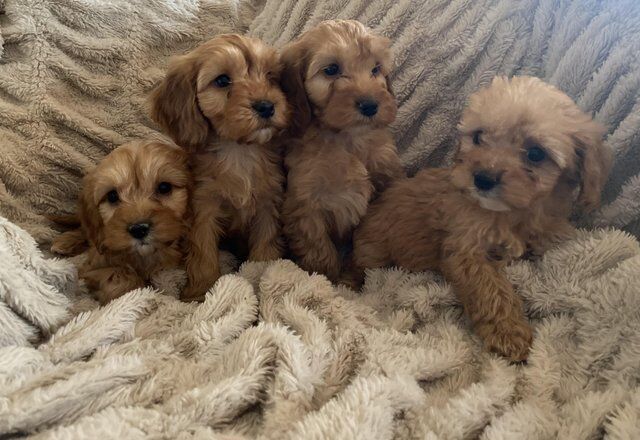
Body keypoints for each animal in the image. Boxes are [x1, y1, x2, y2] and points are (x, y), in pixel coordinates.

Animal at [51, 139, 191, 304]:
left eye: (164, 187)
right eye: (112, 196)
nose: (139, 229)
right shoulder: (91, 268)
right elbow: (119, 273)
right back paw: (64, 242)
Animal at [150, 36, 290, 300]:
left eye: (270, 76)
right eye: (223, 80)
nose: (266, 105)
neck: (238, 151)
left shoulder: (268, 204)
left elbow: (265, 245)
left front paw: (263, 274)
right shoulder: (203, 207)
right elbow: (203, 252)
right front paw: (201, 290)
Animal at [278, 19, 400, 282]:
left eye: (376, 68)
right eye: (331, 69)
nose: (370, 105)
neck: (348, 139)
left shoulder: (386, 183)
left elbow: (369, 242)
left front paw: (354, 276)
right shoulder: (305, 205)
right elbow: (318, 250)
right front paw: (330, 281)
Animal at [352, 76, 612, 360]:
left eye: (535, 153)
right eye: (478, 137)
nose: (483, 178)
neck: (514, 214)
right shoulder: (466, 249)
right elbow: (490, 289)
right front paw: (509, 333)